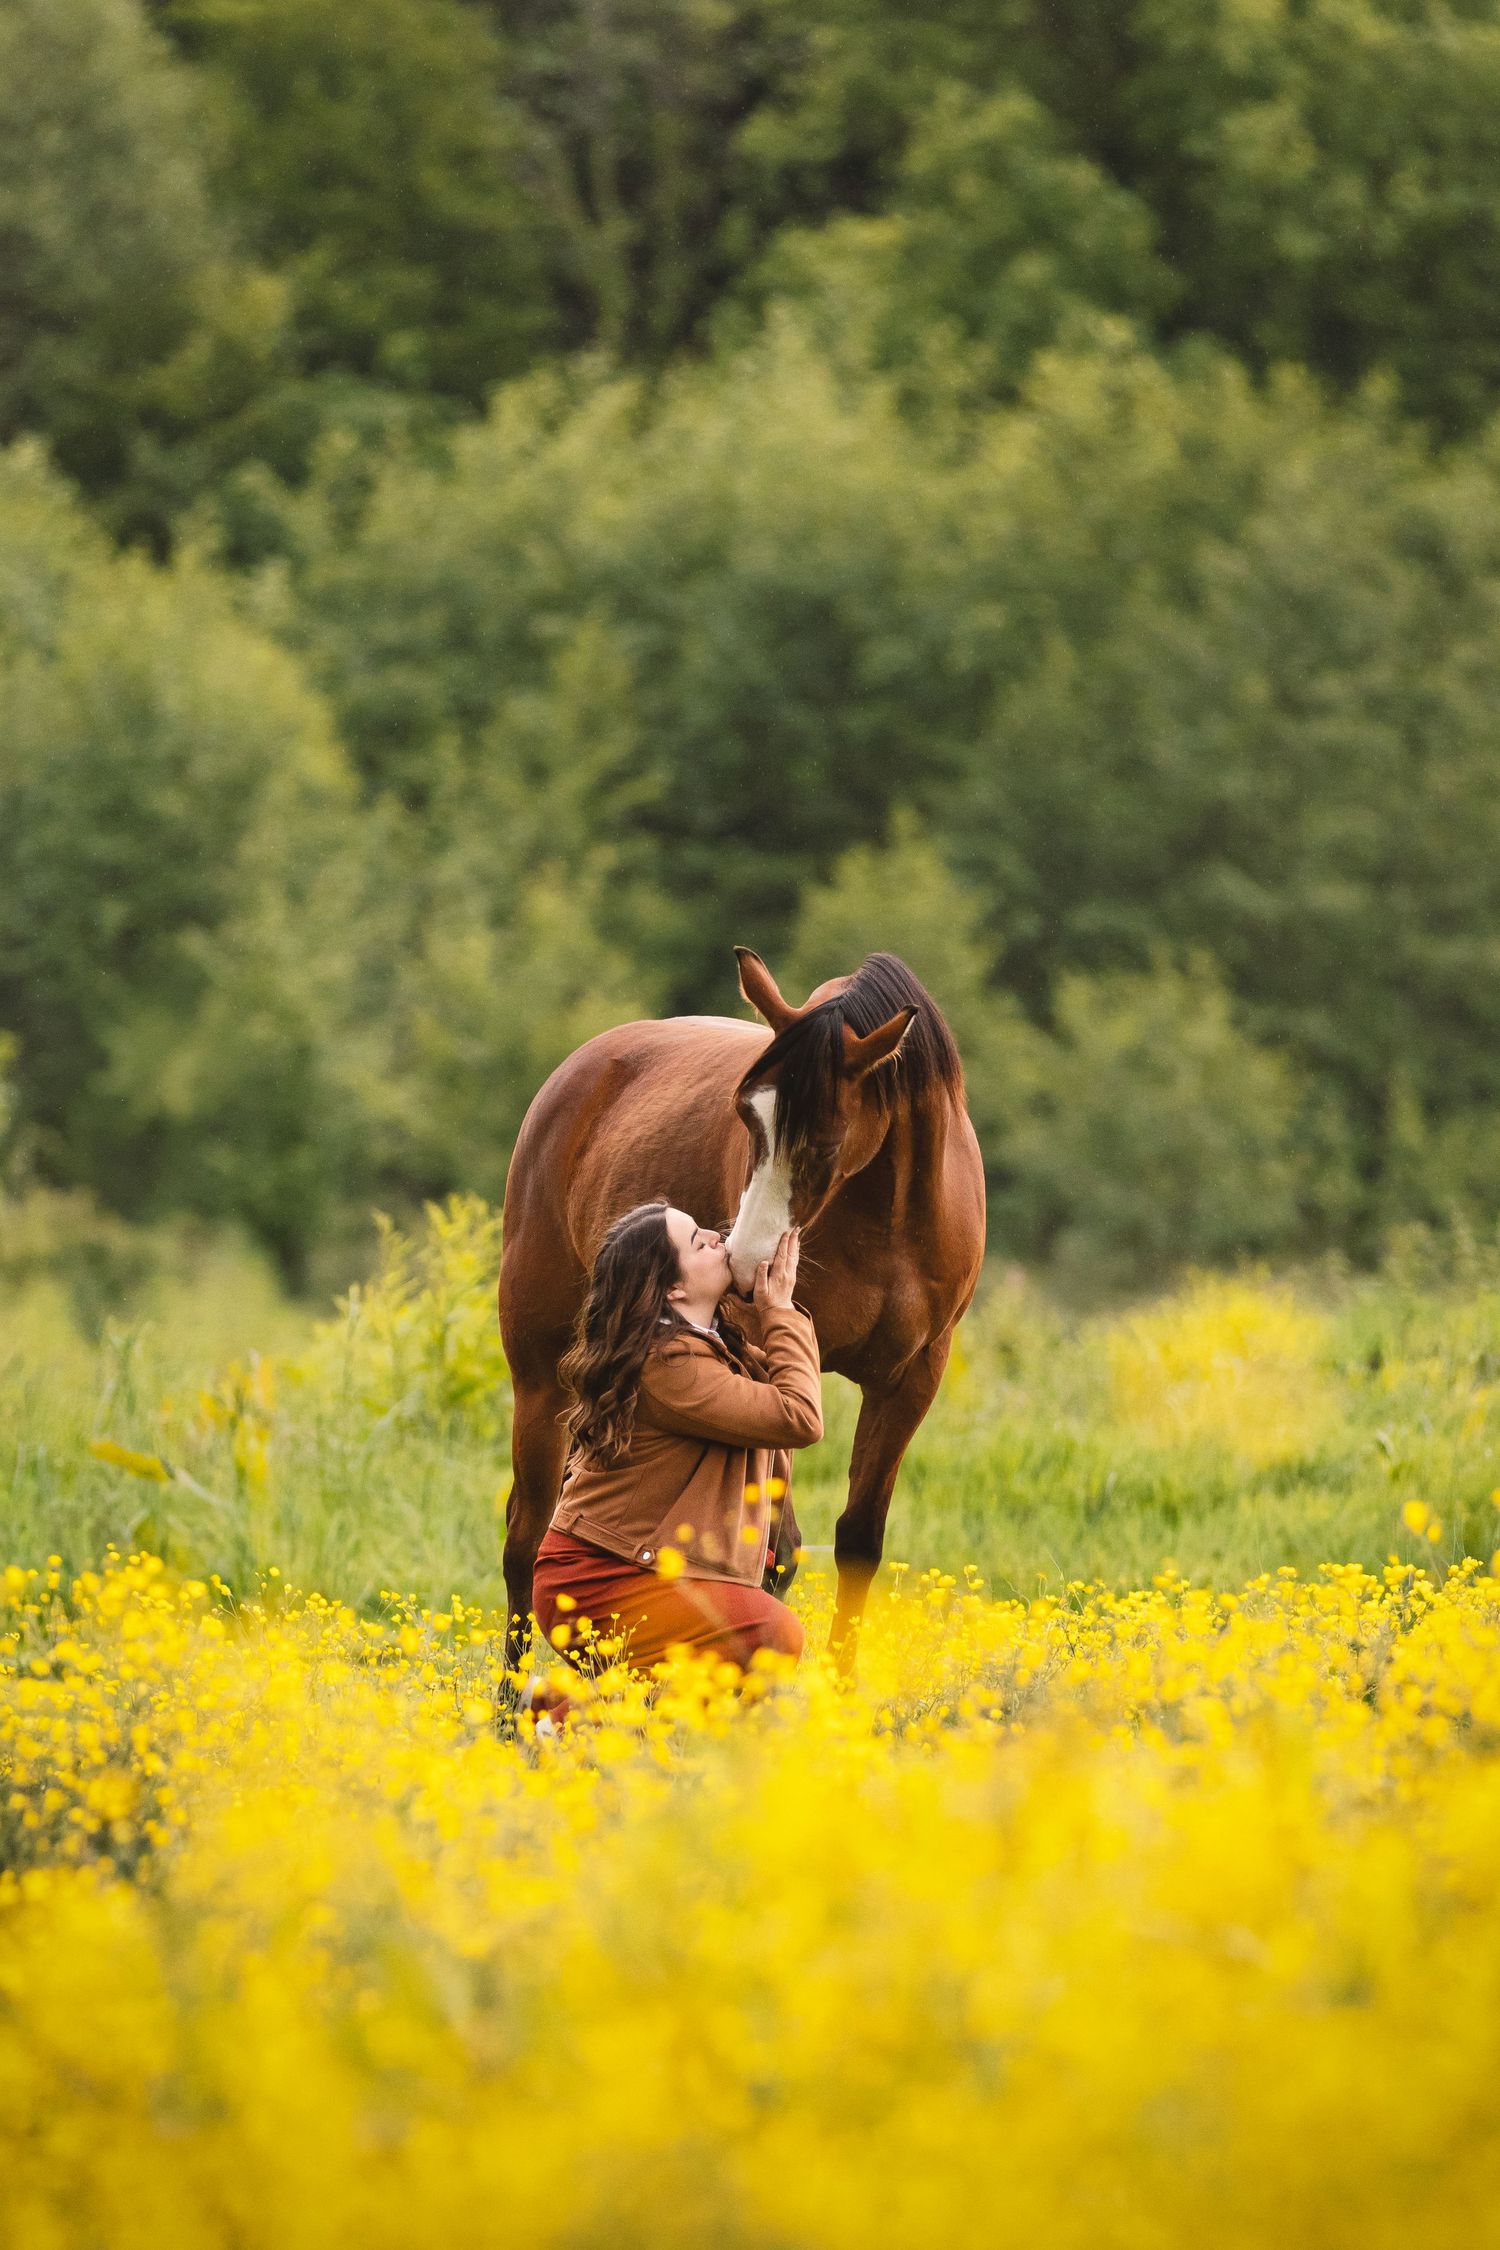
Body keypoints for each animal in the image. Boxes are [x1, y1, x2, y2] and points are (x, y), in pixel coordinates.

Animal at [497, 948, 987, 1669]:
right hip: (539, 1377)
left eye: (826, 1140)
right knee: (528, 1535)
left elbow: (857, 1542)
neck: (890, 1213)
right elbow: (771, 1555)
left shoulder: (911, 1379)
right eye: (744, 1115)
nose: (747, 1260)